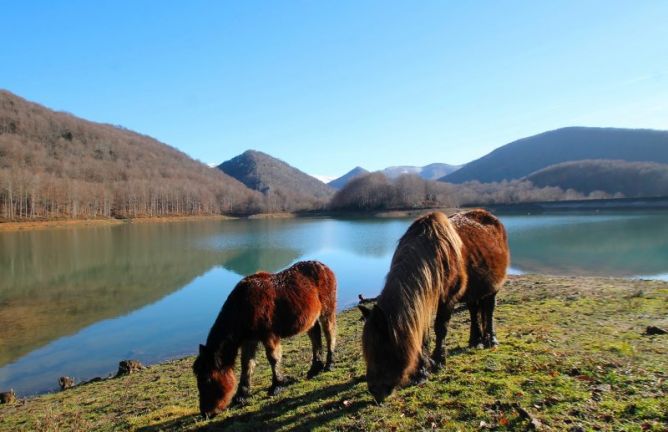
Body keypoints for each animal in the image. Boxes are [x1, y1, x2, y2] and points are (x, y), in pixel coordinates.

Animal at [193, 260, 340, 416]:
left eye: (207, 379)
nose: (205, 413)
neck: (242, 307)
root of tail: (325, 267)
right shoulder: (249, 340)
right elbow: (247, 365)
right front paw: (241, 396)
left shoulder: (269, 336)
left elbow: (273, 359)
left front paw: (277, 386)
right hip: (310, 319)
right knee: (315, 336)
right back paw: (315, 368)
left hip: (327, 310)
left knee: (330, 334)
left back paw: (329, 364)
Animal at [360, 209, 506, 402]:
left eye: (382, 350)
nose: (375, 392)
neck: (433, 254)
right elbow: (422, 335)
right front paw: (421, 372)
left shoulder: (447, 300)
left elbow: (440, 329)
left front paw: (439, 361)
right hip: (473, 292)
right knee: (474, 311)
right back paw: (476, 341)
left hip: (492, 289)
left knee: (489, 311)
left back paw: (491, 340)